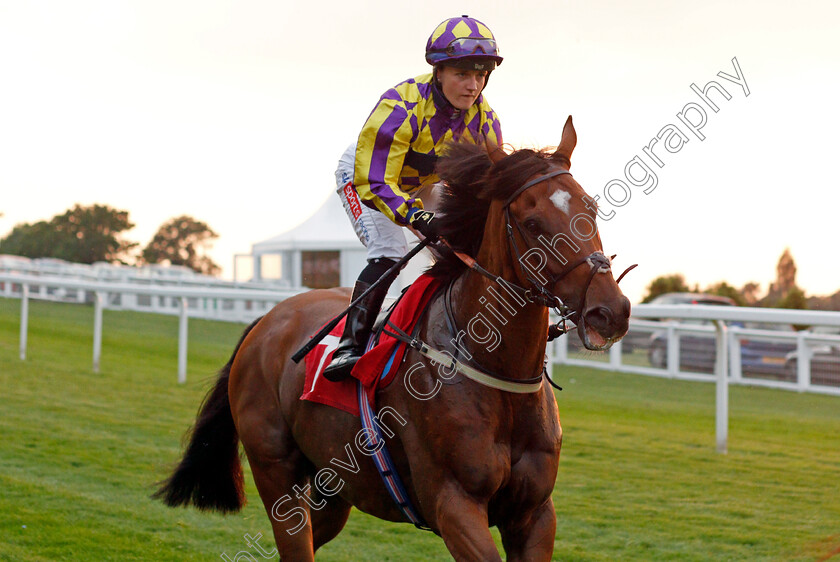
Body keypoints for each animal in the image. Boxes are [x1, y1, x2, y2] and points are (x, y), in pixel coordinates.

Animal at [156, 116, 632, 556]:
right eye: (532, 223)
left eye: (590, 209)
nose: (609, 311)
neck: (498, 374)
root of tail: (266, 320)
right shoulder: (454, 504)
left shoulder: (534, 514)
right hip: (276, 472)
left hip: (333, 487)